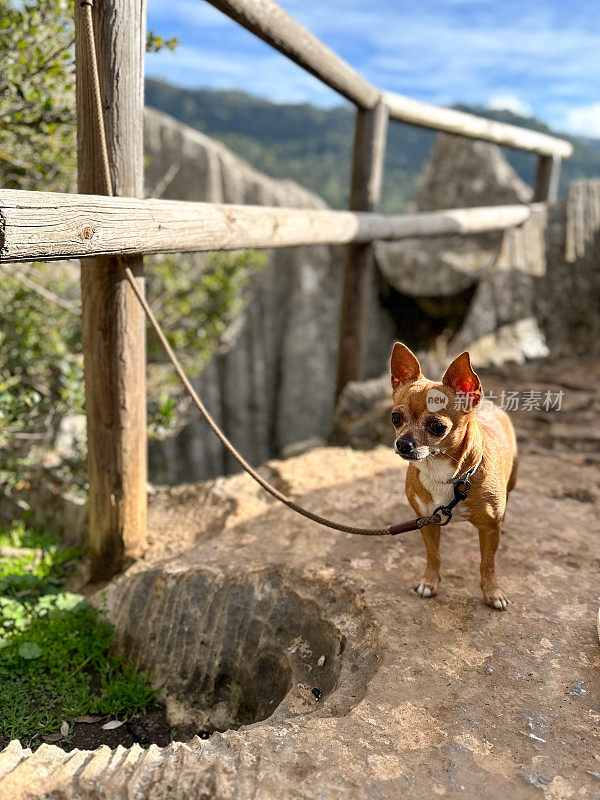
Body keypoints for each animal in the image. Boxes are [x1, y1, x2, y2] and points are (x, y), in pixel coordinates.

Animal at [392, 340, 516, 608]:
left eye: (437, 427)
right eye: (395, 418)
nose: (403, 444)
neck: (444, 476)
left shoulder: (489, 528)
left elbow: (487, 563)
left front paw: (493, 592)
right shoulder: (426, 520)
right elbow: (434, 555)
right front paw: (429, 582)